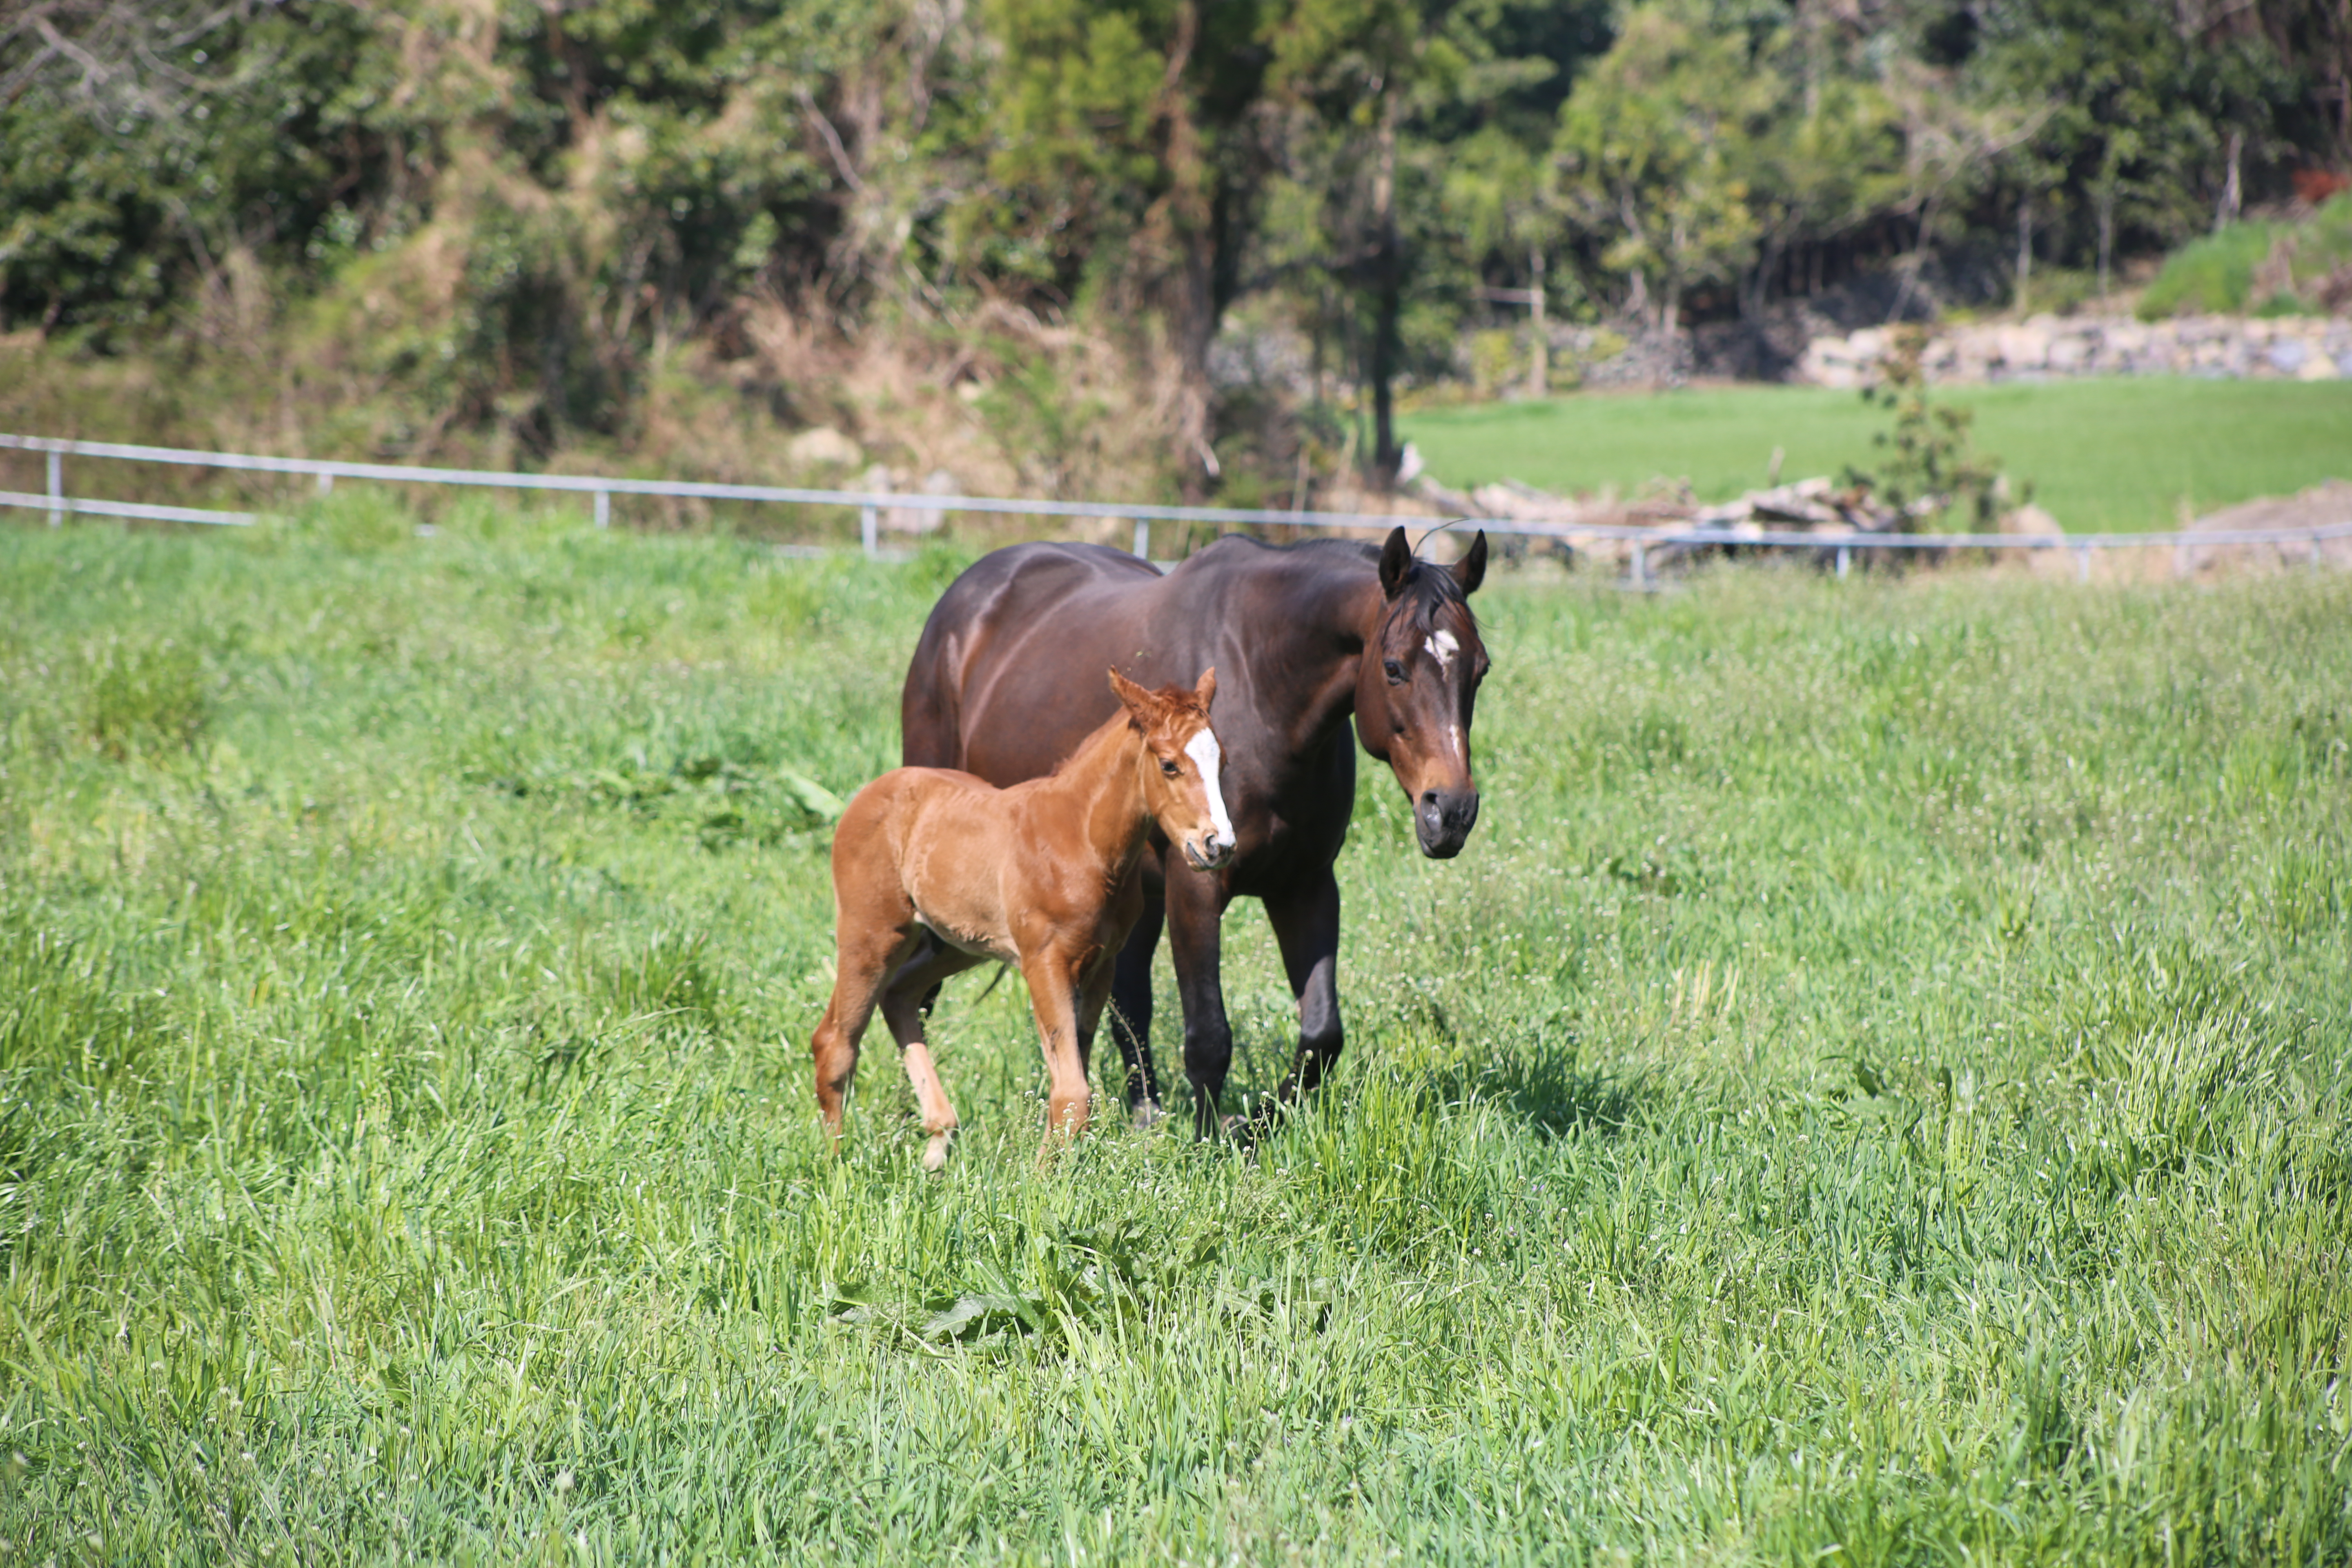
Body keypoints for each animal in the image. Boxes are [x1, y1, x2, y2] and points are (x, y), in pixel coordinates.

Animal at [813, 668, 1232, 1171]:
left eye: (1222, 763)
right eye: (1169, 765)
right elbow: (1072, 1093)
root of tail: (870, 793)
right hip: (873, 932)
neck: (1082, 840)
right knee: (835, 1041)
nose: (1218, 846)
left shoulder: (1100, 964)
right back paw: (835, 1167)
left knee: (900, 995)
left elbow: (1073, 1075)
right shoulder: (1044, 961)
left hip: (954, 943)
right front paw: (1041, 1182)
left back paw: (938, 1142)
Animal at [898, 524, 1486, 1128]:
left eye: (1480, 670)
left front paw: (1258, 1123)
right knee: (917, 986)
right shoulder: (1196, 884)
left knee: (1128, 1000)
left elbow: (1322, 1035)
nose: (1451, 812)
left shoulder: (1308, 885)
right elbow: (1208, 1035)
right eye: (1394, 668)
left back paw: (1144, 1115)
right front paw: (1211, 1140)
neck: (1263, 688)